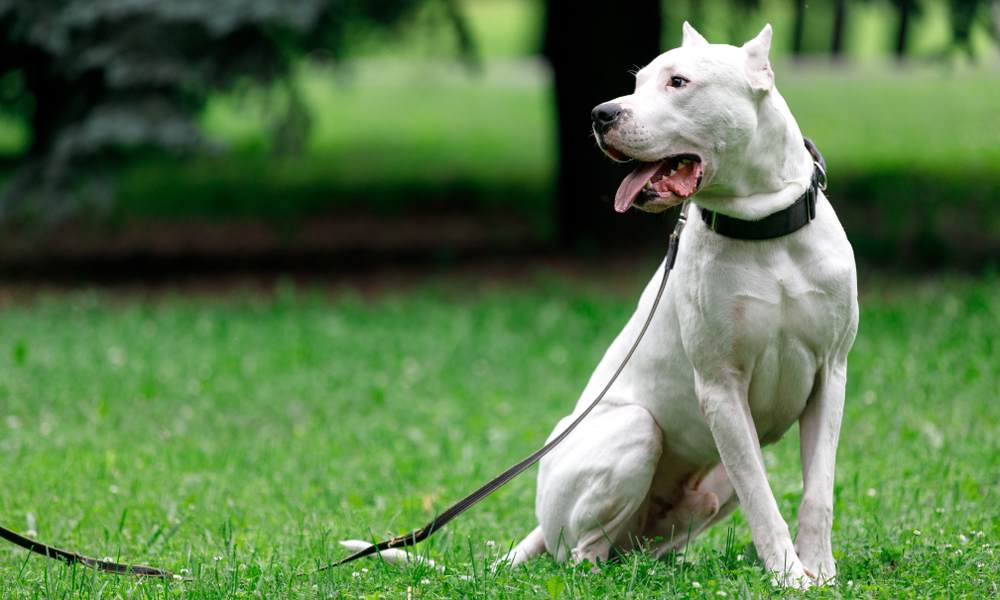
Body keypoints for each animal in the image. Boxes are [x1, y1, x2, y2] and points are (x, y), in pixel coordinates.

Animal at [508, 22, 860, 584]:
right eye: (638, 81)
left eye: (678, 82)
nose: (601, 114)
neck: (763, 229)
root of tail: (543, 526)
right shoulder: (721, 389)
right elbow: (763, 499)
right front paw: (788, 575)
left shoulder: (831, 375)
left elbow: (818, 492)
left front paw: (820, 571)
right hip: (635, 431)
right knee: (582, 551)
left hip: (712, 487)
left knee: (639, 544)